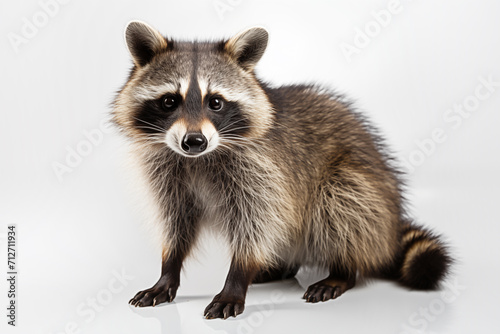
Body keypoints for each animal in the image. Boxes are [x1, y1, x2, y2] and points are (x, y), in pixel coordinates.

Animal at [112, 20, 450, 318]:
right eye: (170, 101)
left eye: (216, 102)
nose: (194, 141)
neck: (199, 158)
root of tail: (390, 227)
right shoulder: (168, 174)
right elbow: (176, 223)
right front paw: (168, 270)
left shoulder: (261, 172)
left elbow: (256, 224)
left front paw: (237, 278)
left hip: (364, 189)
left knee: (339, 201)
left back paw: (343, 270)